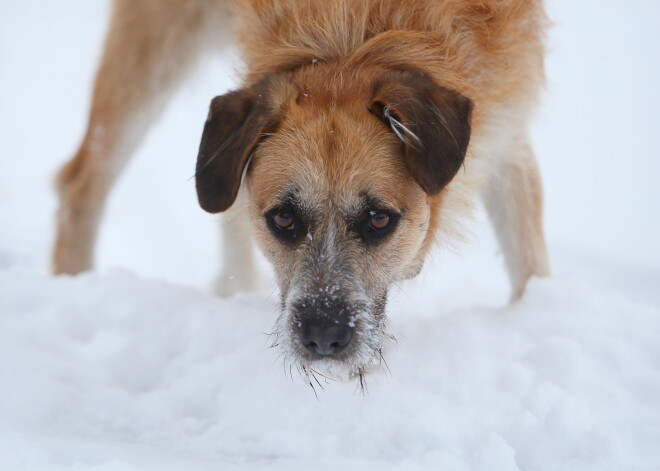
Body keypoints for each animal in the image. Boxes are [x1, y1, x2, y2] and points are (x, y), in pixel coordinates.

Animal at [54, 0, 552, 378]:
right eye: (284, 218)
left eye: (378, 219)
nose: (323, 337)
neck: (358, 39)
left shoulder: (506, 133)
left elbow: (530, 263)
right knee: (82, 179)